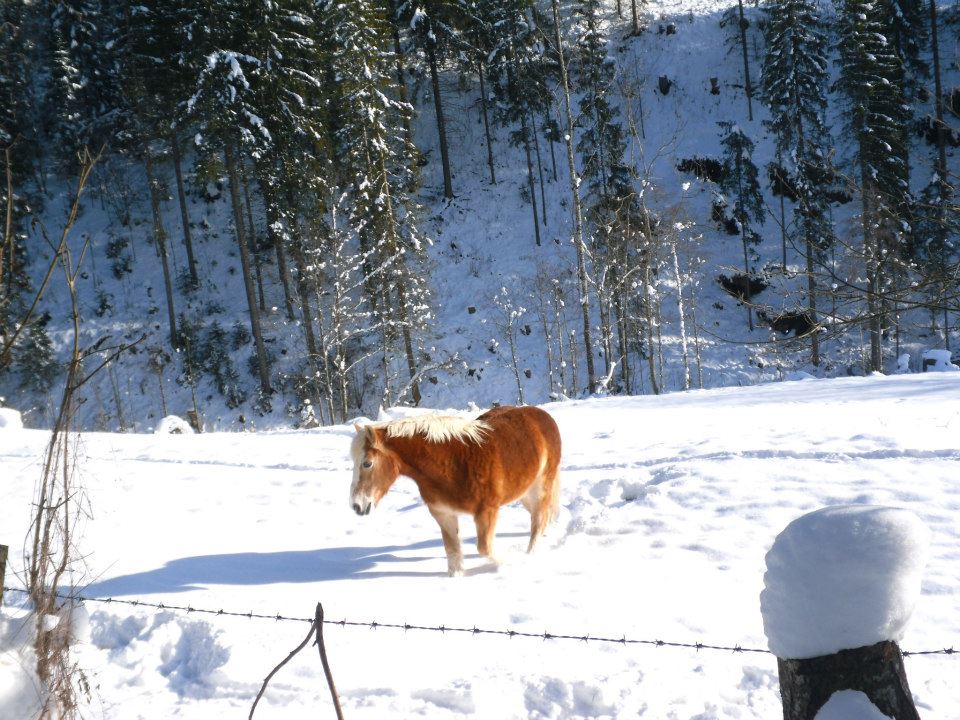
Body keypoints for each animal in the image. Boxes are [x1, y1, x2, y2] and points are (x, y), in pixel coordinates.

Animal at [350, 408, 564, 576]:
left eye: (367, 463)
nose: (356, 505)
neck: (453, 463)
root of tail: (544, 416)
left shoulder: (486, 512)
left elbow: (484, 548)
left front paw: (509, 561)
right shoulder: (444, 515)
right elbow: (452, 552)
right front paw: (457, 578)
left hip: (540, 487)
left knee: (538, 520)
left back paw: (530, 554)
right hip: (524, 492)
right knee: (541, 516)